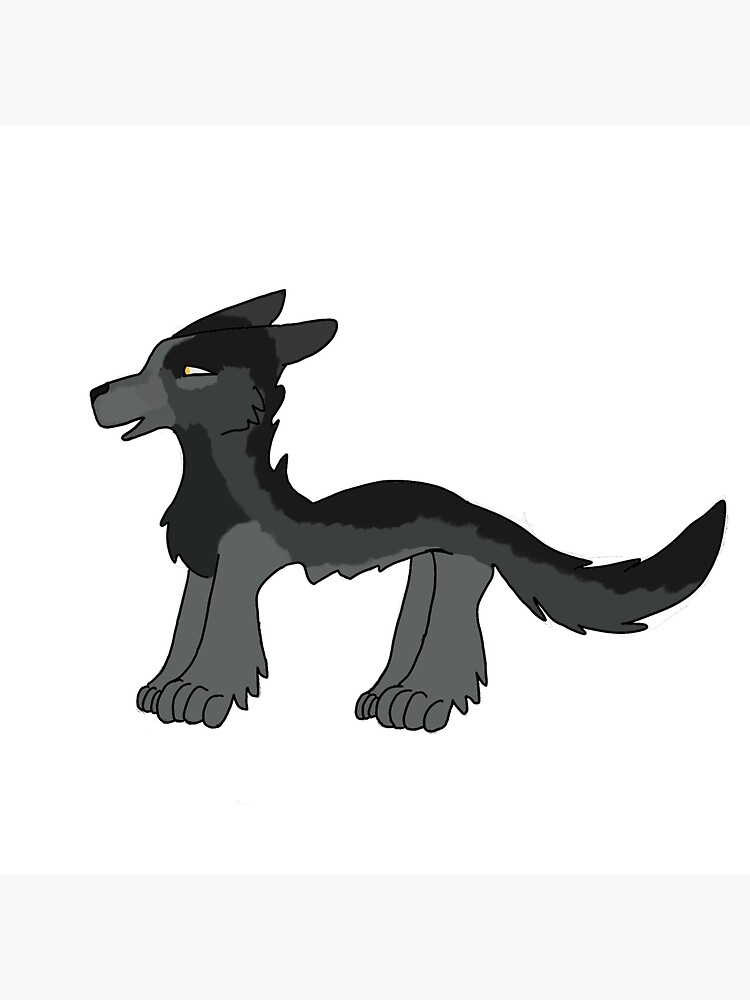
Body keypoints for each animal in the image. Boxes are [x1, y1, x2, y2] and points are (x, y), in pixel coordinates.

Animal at [91, 289, 726, 731]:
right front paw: (165, 686)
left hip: (460, 571)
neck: (216, 483)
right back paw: (390, 696)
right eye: (148, 359)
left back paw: (422, 701)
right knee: (421, 623)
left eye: (189, 371)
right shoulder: (202, 569)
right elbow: (184, 629)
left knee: (455, 635)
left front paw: (202, 696)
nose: (96, 393)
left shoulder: (240, 568)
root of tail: (479, 510)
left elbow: (223, 632)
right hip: (429, 566)